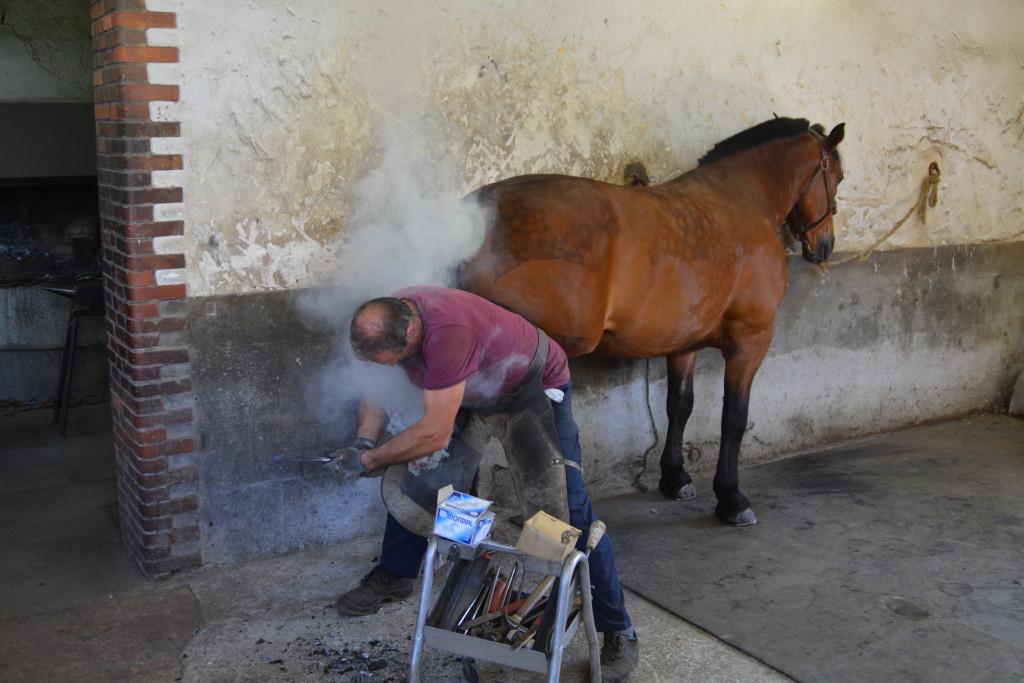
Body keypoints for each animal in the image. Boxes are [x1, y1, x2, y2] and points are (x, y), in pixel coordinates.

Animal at [460, 117, 843, 528]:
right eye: (837, 175)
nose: (825, 247)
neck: (745, 199)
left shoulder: (685, 342)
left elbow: (680, 404)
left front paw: (675, 477)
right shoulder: (751, 339)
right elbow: (734, 417)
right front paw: (731, 497)